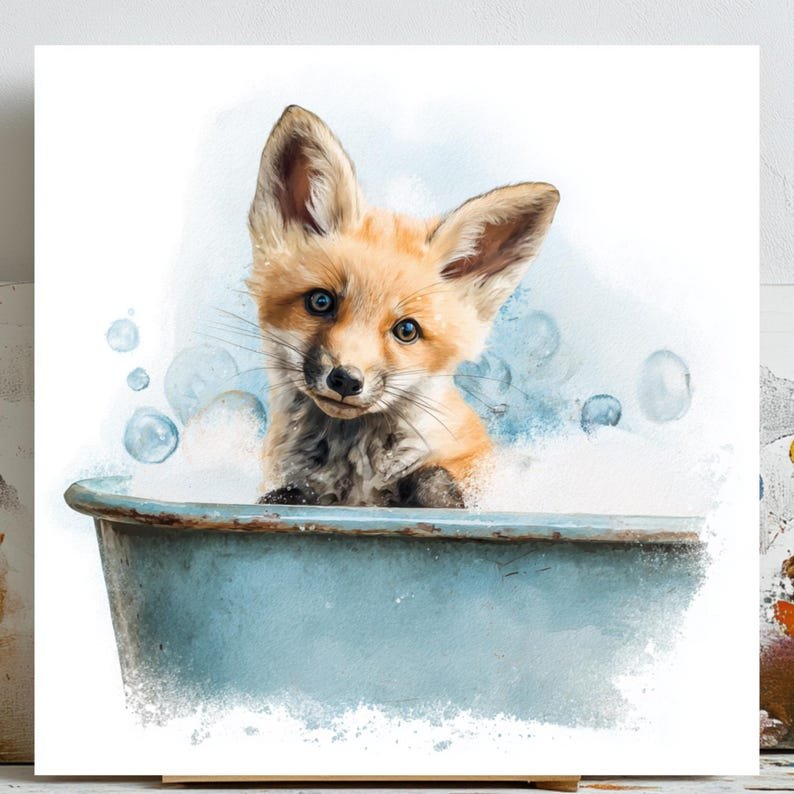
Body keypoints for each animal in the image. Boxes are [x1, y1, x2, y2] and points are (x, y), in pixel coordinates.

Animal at [247, 105, 559, 509]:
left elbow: (434, 478)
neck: (354, 476)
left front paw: (436, 495)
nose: (345, 380)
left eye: (407, 330)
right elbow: (285, 495)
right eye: (321, 301)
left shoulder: (467, 466)